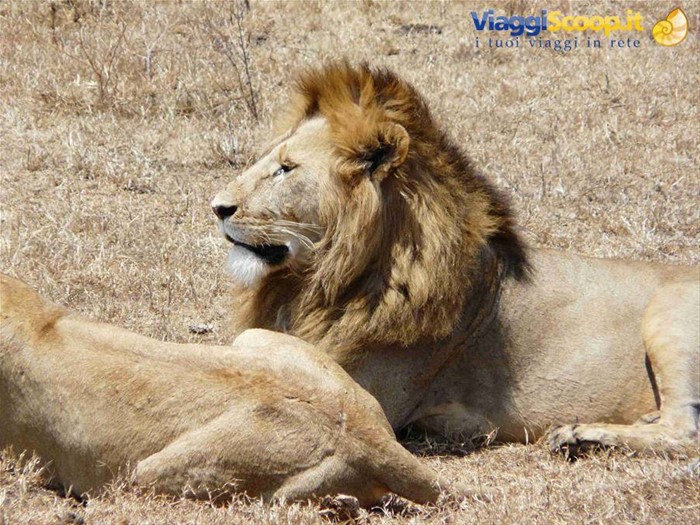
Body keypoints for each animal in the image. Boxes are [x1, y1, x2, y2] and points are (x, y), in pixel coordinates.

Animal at [212, 62, 699, 455]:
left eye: (286, 169)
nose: (217, 207)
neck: (320, 281)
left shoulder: (365, 394)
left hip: (668, 316)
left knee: (684, 433)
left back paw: (580, 435)